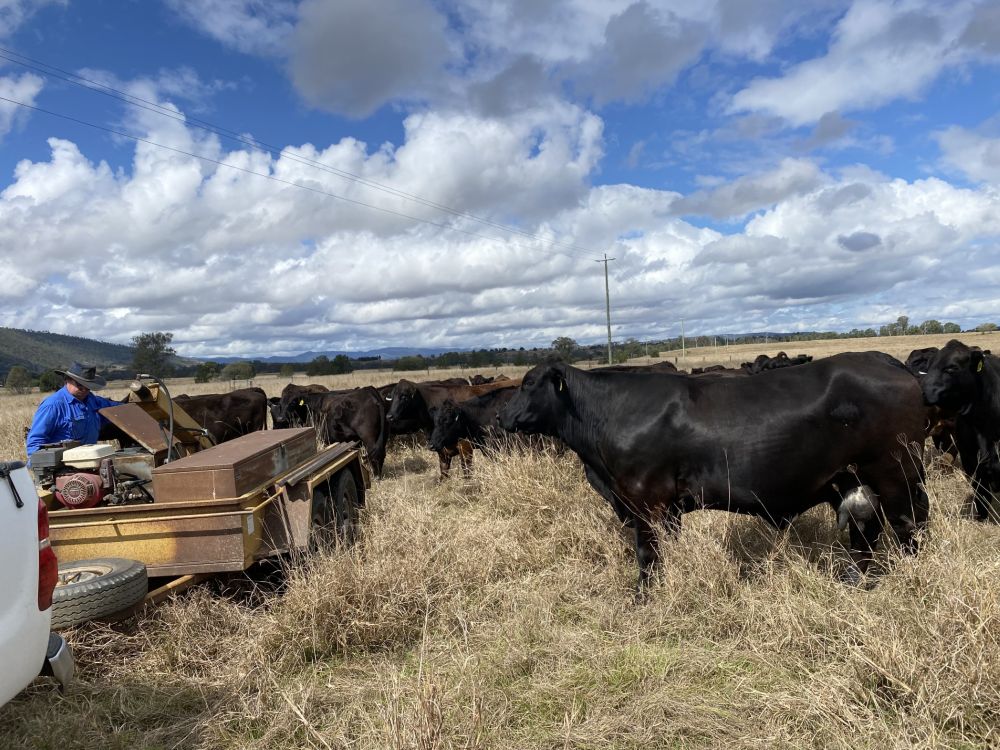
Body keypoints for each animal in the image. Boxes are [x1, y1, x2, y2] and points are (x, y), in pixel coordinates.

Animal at [498, 354, 929, 591]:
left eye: (529, 383)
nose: (502, 416)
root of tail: (883, 359)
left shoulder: (644, 500)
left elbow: (647, 554)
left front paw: (643, 597)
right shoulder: (667, 508)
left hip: (895, 471)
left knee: (909, 523)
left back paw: (911, 574)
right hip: (853, 478)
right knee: (867, 530)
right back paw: (857, 582)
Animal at [920, 340, 1000, 520]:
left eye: (951, 368)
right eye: (929, 365)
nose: (922, 392)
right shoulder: (968, 454)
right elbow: (979, 486)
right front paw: (981, 515)